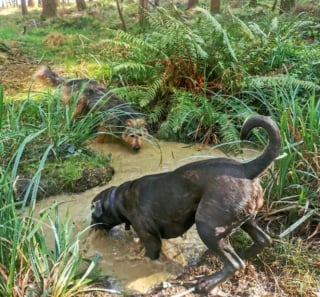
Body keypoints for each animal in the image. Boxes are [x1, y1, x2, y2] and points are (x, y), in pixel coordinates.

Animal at [90, 114, 280, 292]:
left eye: (93, 213)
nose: (91, 226)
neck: (117, 199)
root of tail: (245, 168)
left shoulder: (150, 238)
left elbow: (151, 256)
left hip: (208, 226)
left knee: (234, 263)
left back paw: (207, 284)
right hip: (246, 219)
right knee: (262, 240)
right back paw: (244, 255)